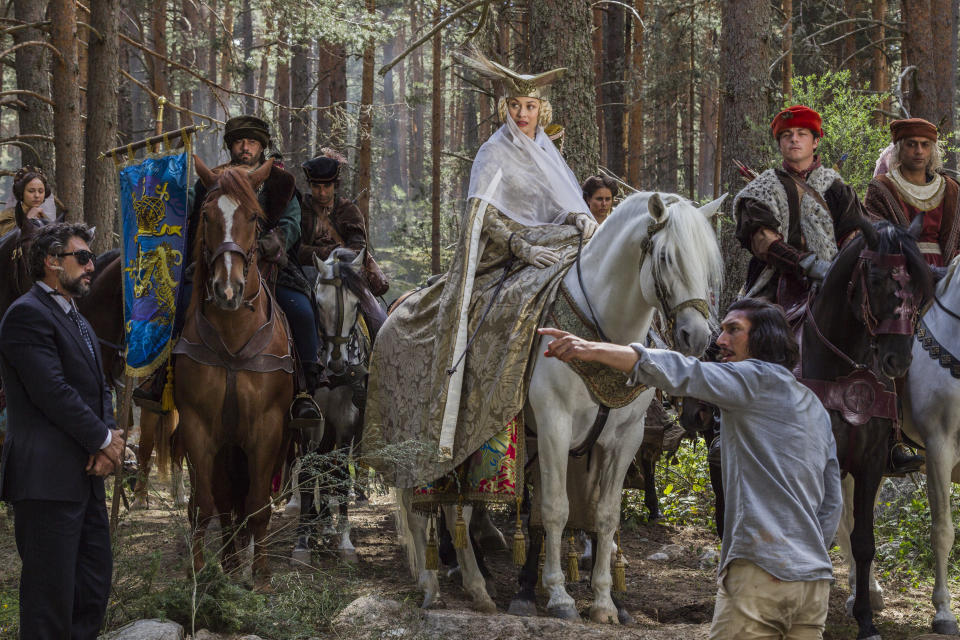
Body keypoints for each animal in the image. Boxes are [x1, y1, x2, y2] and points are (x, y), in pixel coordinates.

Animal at [172, 160, 292, 584]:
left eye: (254, 217)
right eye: (206, 216)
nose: (228, 290)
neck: (232, 336)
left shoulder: (268, 428)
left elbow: (257, 503)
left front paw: (261, 575)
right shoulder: (197, 427)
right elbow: (204, 505)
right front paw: (199, 575)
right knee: (223, 502)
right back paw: (227, 561)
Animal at [396, 192, 720, 624]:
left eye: (707, 262)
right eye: (667, 257)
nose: (696, 336)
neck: (604, 341)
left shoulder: (625, 439)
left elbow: (605, 516)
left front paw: (604, 602)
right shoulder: (554, 425)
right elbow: (553, 510)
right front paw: (557, 595)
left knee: (454, 509)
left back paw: (477, 588)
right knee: (423, 510)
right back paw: (433, 586)